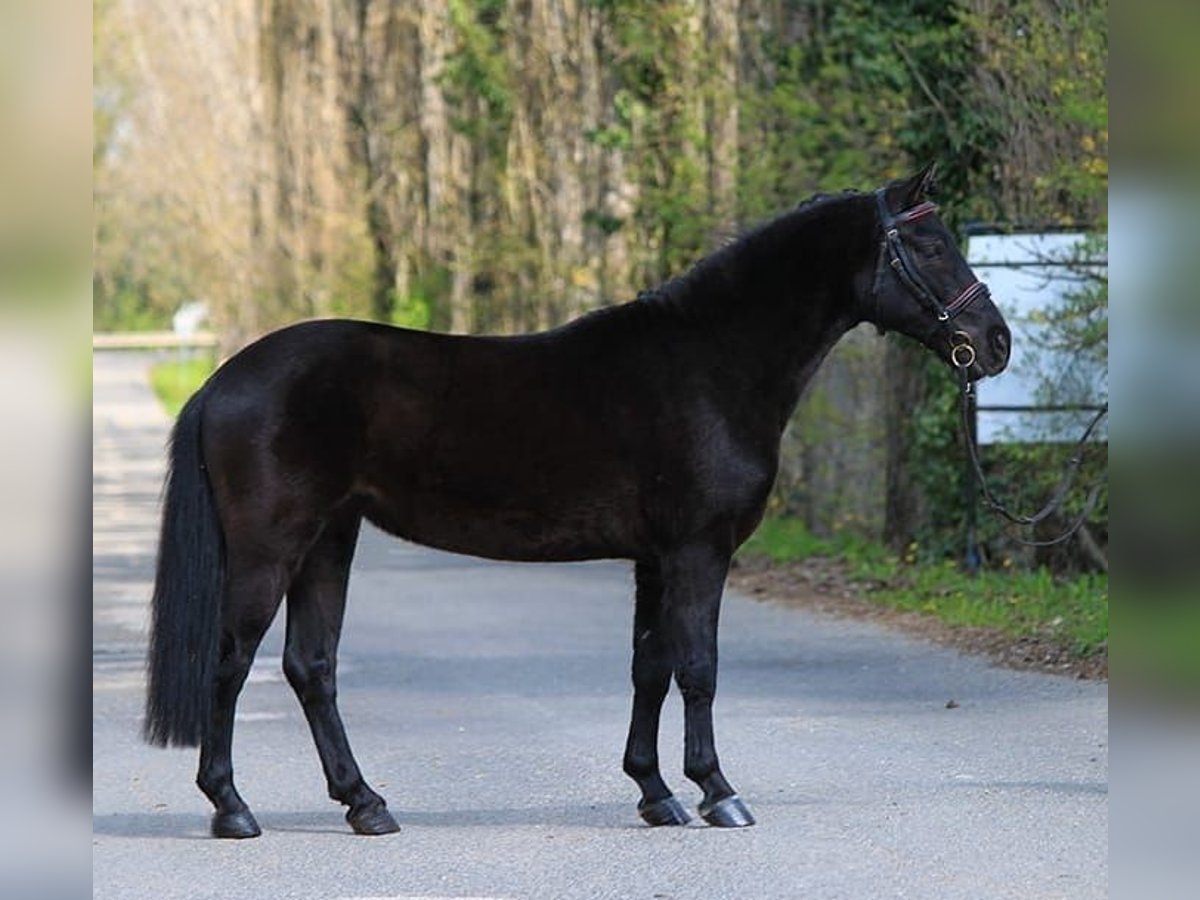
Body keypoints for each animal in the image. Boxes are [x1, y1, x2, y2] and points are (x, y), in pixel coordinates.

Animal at [142, 168, 1012, 840]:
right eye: (931, 246)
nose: (996, 343)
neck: (710, 364)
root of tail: (223, 381)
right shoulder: (699, 551)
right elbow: (699, 668)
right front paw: (718, 792)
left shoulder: (656, 560)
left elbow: (649, 668)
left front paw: (656, 794)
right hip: (271, 548)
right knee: (232, 661)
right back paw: (233, 809)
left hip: (329, 539)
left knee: (311, 668)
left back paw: (367, 805)